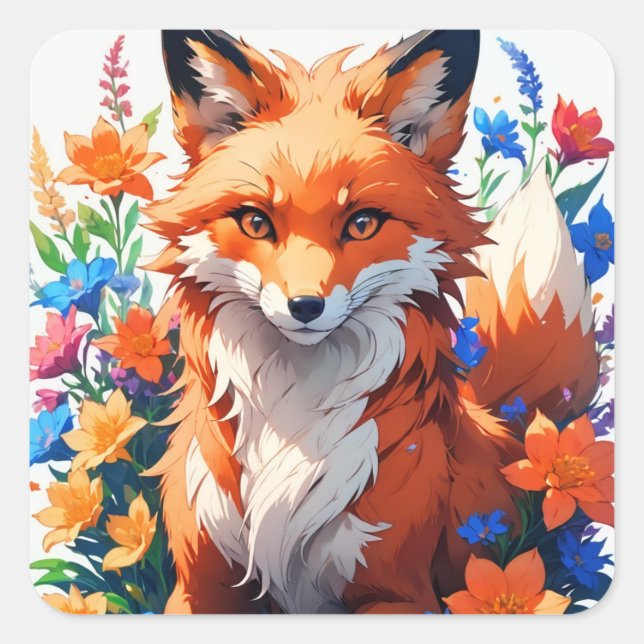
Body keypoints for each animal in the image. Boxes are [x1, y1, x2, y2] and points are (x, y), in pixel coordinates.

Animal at [144, 29, 599, 614]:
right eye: (256, 222)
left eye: (361, 224)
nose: (305, 307)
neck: (292, 421)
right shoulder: (201, 591)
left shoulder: (397, 591)